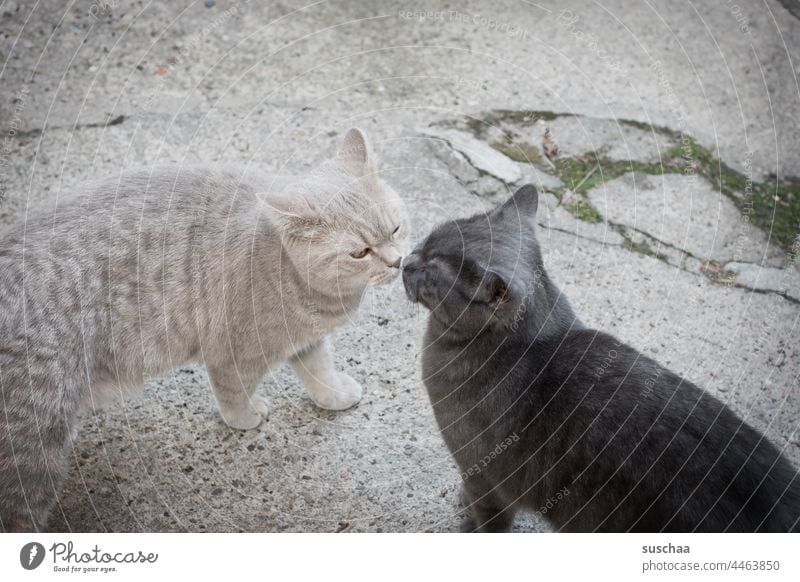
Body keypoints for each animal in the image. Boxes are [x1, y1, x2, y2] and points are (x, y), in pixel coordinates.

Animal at [406, 185, 800, 532]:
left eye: (432, 270)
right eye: (425, 242)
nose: (408, 261)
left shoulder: (484, 477)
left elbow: (490, 520)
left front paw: (469, 523)